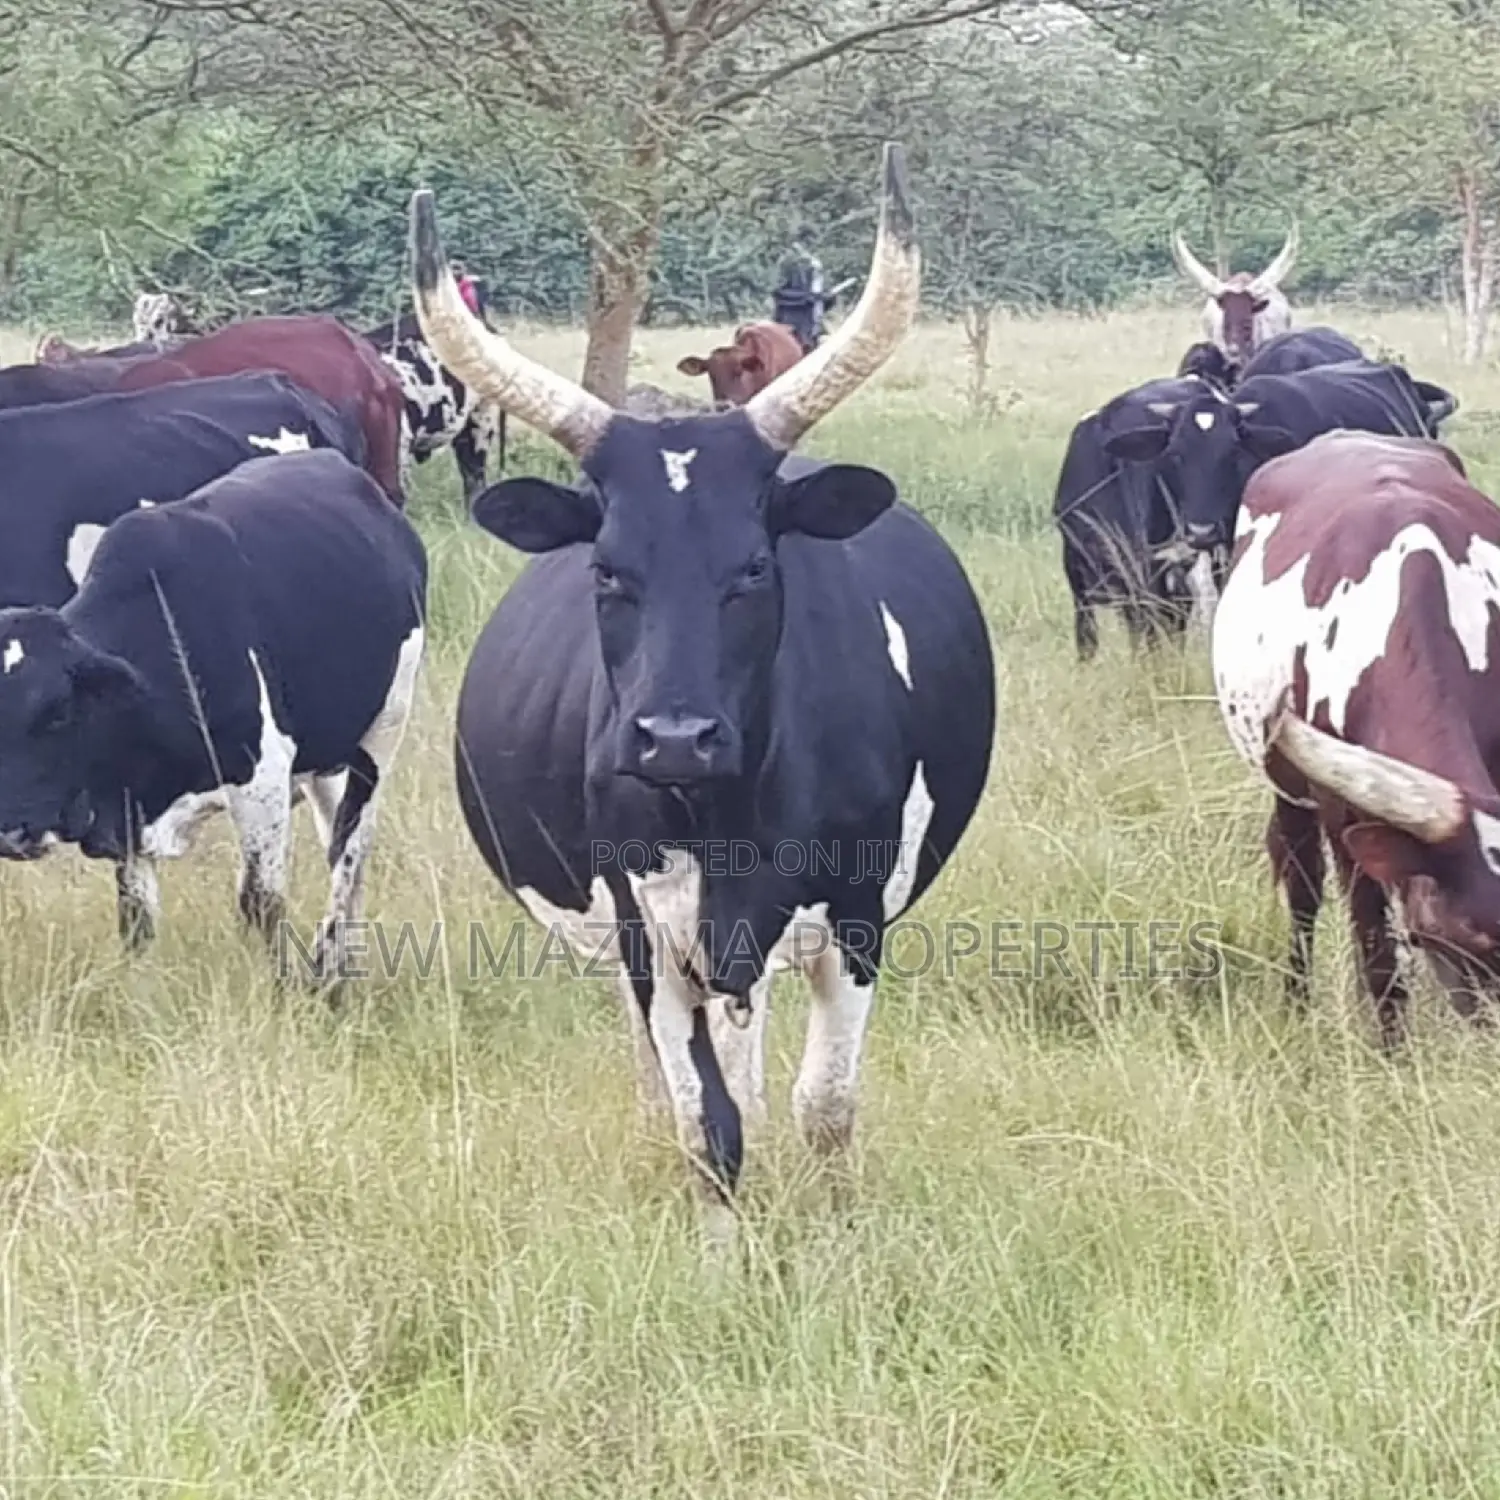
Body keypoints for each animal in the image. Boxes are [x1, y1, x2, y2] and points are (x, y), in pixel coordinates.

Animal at [0, 448, 426, 973]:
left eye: (59, 712)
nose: (10, 833)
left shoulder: (262, 783)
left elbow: (262, 902)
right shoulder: (129, 815)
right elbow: (137, 918)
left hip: (382, 734)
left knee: (351, 849)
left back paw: (329, 968)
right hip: (325, 756)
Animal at [1211, 429, 1500, 1047]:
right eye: (1443, 935)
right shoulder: (1342, 814)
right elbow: (1376, 950)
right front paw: (1392, 1051)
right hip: (1287, 787)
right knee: (1300, 880)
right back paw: (1296, 999)